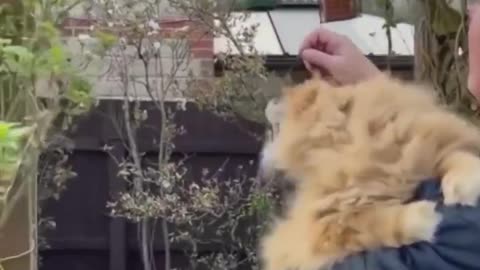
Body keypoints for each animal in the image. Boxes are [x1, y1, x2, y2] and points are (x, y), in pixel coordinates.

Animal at [258, 73, 480, 270]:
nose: (269, 104)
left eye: (276, 129)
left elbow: (455, 158)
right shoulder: (321, 225)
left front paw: (462, 188)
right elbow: (372, 223)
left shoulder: (422, 146)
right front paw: (425, 218)